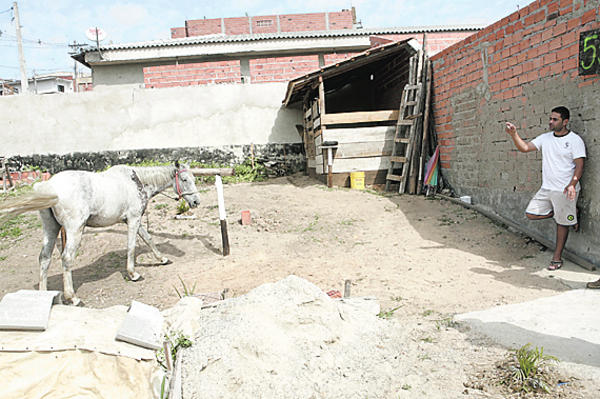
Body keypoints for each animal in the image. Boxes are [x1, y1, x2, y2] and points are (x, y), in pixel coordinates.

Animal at [0, 161, 202, 304]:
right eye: (185, 180)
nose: (196, 202)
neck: (137, 181)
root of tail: (49, 187)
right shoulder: (133, 220)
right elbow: (132, 246)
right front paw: (133, 274)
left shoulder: (134, 220)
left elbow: (148, 238)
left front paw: (162, 259)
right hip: (75, 230)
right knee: (66, 258)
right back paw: (72, 297)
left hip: (51, 228)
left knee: (44, 258)